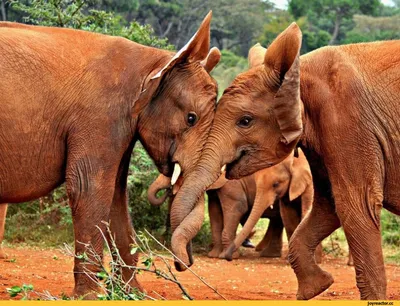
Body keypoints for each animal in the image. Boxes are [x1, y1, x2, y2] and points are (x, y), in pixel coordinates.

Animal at [0, 13, 222, 298]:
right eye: (191, 118)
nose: (184, 264)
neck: (154, 62)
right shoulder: (99, 117)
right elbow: (88, 189)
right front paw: (88, 296)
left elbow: (117, 195)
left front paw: (134, 294)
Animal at [172, 22, 400, 300]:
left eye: (245, 121)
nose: (185, 263)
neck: (299, 71)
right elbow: (328, 207)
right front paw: (316, 288)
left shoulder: (348, 123)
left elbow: (356, 205)